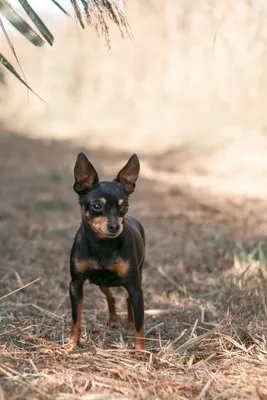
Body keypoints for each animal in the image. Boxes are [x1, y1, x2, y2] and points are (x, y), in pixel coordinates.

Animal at [68, 152, 146, 350]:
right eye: (97, 206)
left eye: (124, 206)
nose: (114, 226)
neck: (102, 245)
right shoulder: (75, 285)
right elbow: (76, 319)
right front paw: (71, 344)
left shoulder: (135, 288)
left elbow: (140, 326)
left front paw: (141, 352)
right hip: (101, 282)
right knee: (110, 297)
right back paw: (113, 321)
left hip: (136, 277)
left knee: (127, 300)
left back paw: (129, 322)